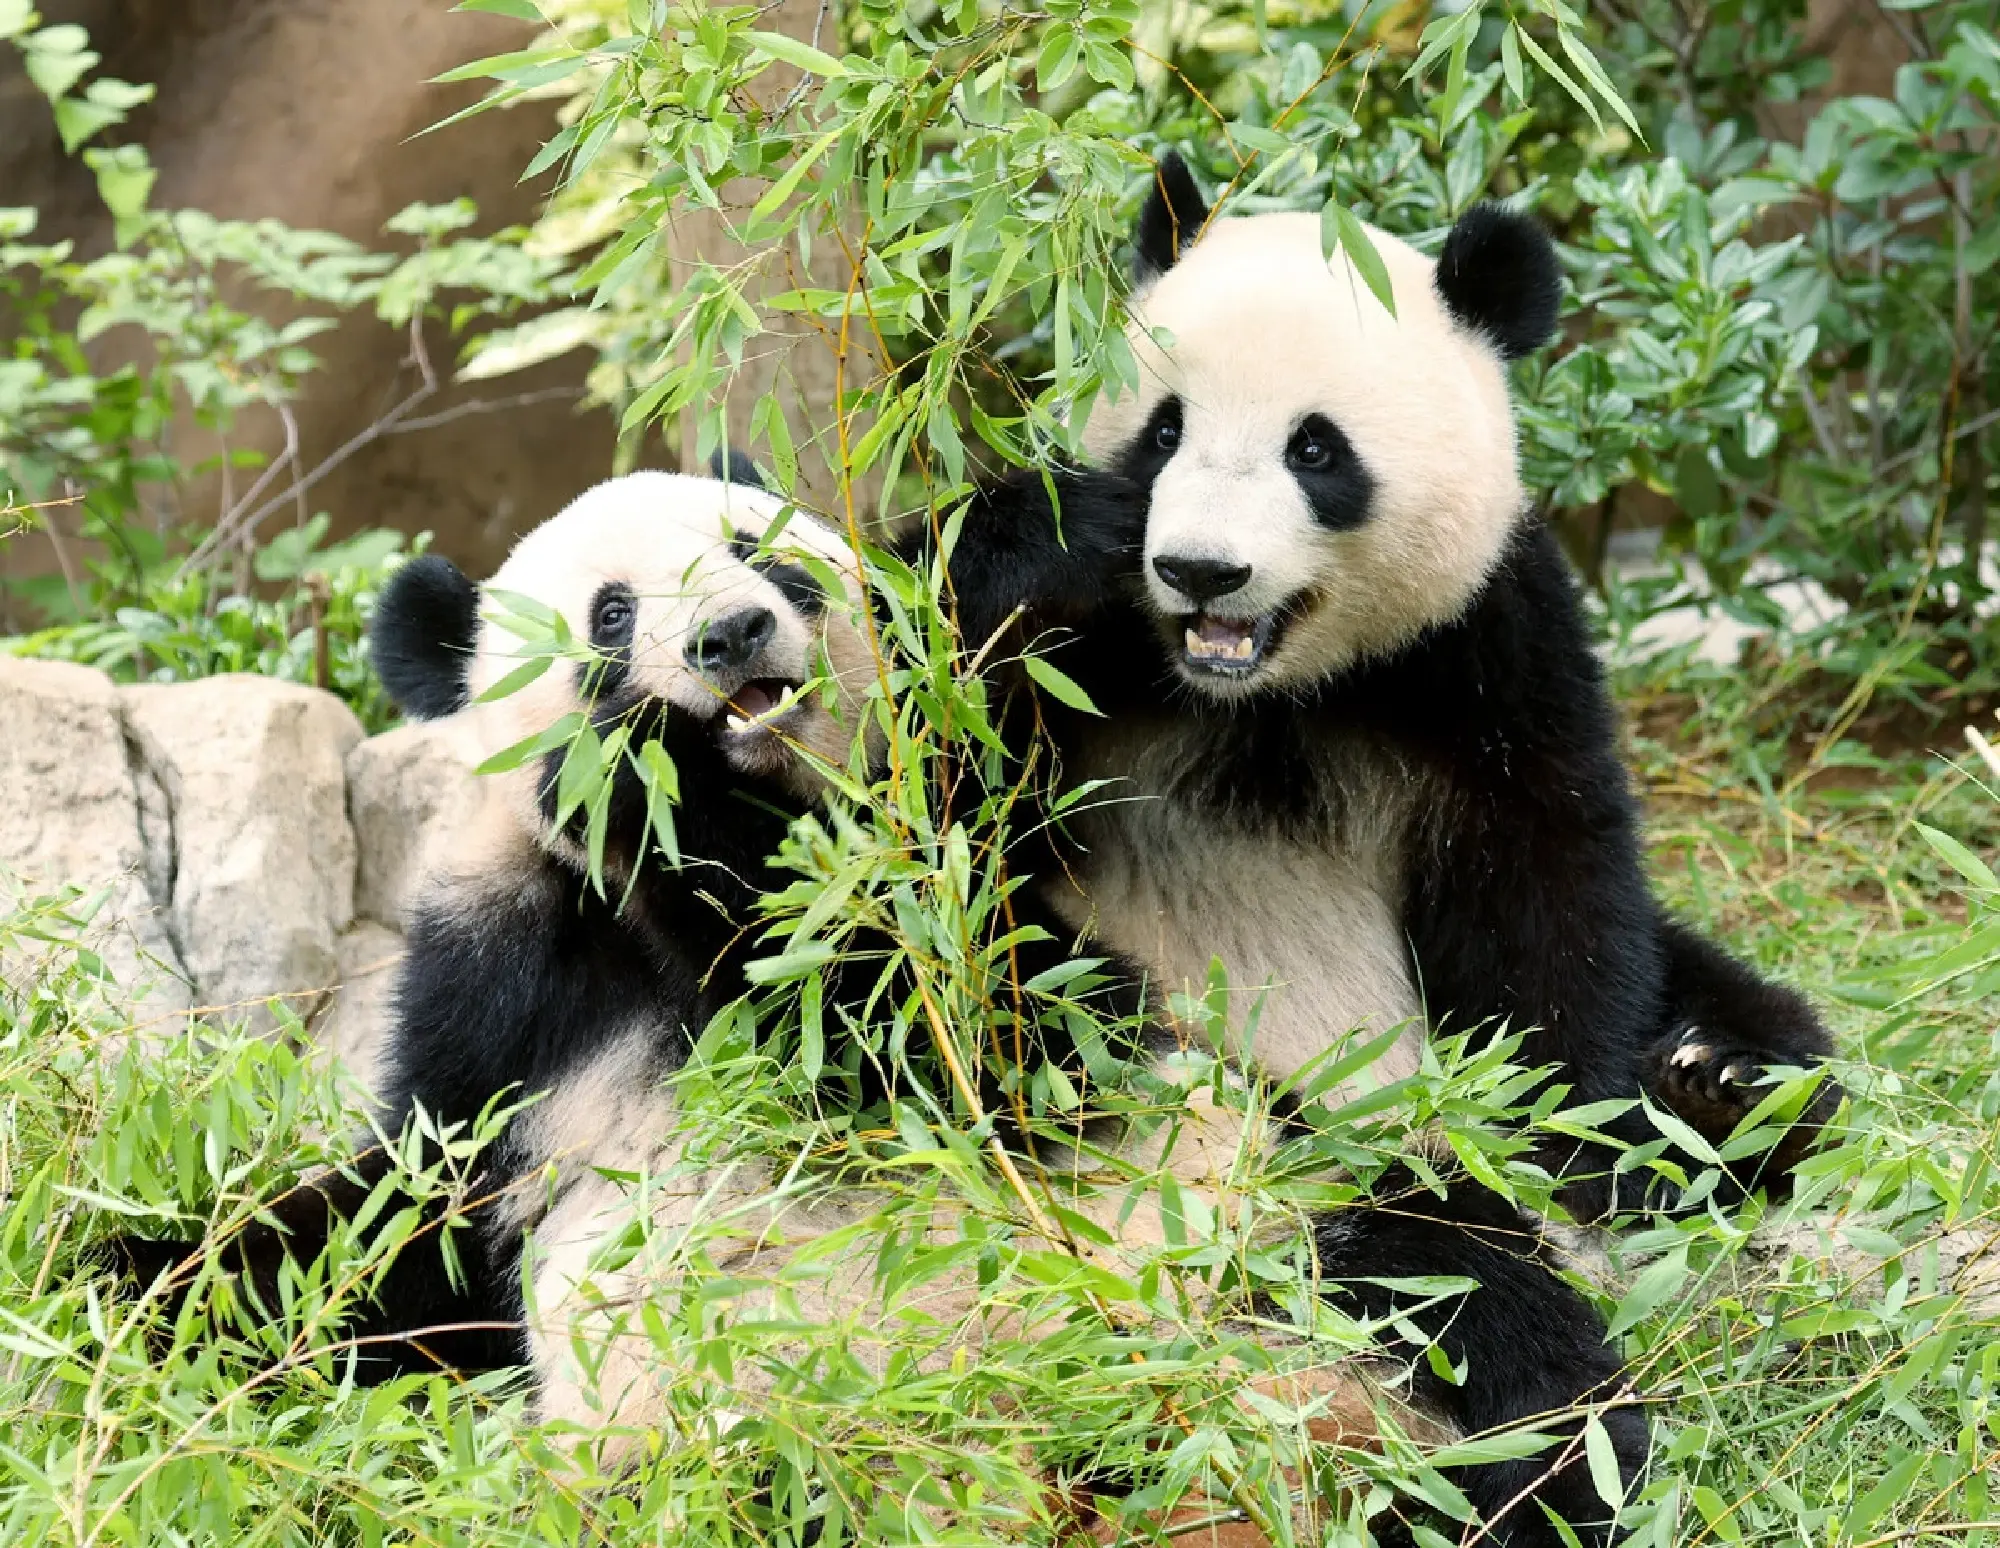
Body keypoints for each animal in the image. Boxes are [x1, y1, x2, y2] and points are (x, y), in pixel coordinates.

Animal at [104, 465, 1646, 1545]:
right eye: (610, 613)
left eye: (762, 553)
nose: (732, 637)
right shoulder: (508, 995)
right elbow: (396, 1229)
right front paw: (136, 1296)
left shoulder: (994, 853)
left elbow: (985, 1046)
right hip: (718, 1456)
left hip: (1262, 1233)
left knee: (1484, 1317)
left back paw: (1528, 1490)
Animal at [920, 151, 1840, 1225]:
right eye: (1164, 431)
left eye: (1314, 448)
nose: (1200, 570)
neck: (1257, 692)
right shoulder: (1058, 671)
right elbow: (920, 810)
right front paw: (1054, 540)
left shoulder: (1485, 647)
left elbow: (1546, 888)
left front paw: (1572, 1140)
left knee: (1742, 1005)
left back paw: (1721, 1083)